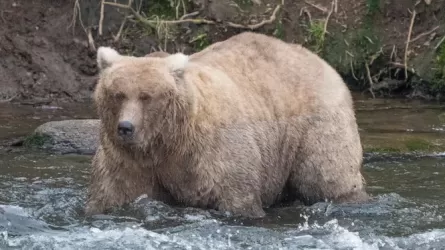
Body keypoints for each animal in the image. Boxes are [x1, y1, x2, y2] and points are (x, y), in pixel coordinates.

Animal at [85, 31, 370, 218]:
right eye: (118, 94)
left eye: (146, 96)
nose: (126, 127)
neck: (167, 141)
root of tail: (320, 60)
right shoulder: (128, 160)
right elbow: (114, 193)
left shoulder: (213, 152)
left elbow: (236, 195)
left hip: (315, 124)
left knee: (326, 176)